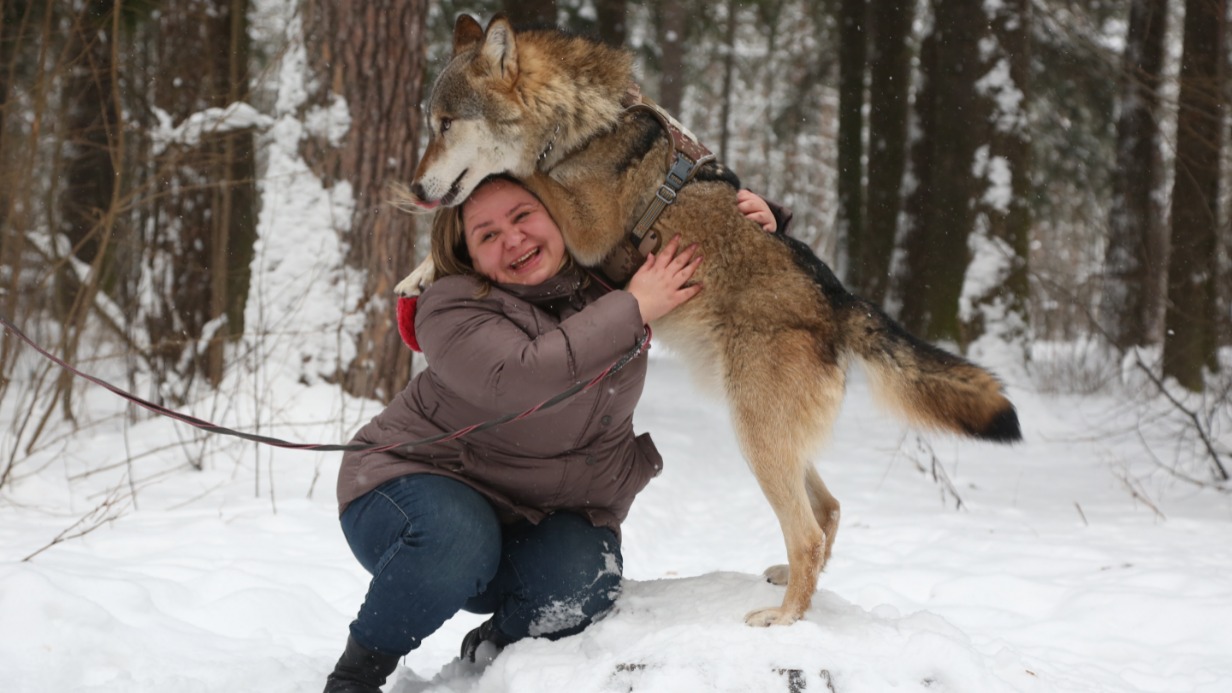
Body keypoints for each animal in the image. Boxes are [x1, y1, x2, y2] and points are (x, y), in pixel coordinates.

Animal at [396, 13, 1020, 626]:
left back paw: (784, 618)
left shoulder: (584, 226)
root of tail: (840, 300)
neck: (582, 126)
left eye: (446, 124)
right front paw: (419, 274)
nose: (417, 187)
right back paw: (792, 589)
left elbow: (518, 178)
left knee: (809, 533)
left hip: (756, 436)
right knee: (830, 510)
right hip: (768, 438)